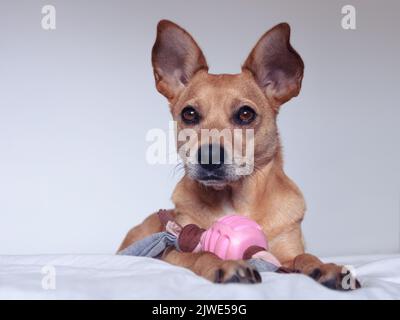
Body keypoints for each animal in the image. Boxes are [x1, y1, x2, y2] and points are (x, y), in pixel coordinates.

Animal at [118, 20, 360, 290]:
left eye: (245, 114)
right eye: (189, 114)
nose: (209, 156)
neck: (234, 201)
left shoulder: (285, 254)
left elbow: (304, 256)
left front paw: (327, 267)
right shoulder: (175, 251)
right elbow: (202, 253)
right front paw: (224, 264)